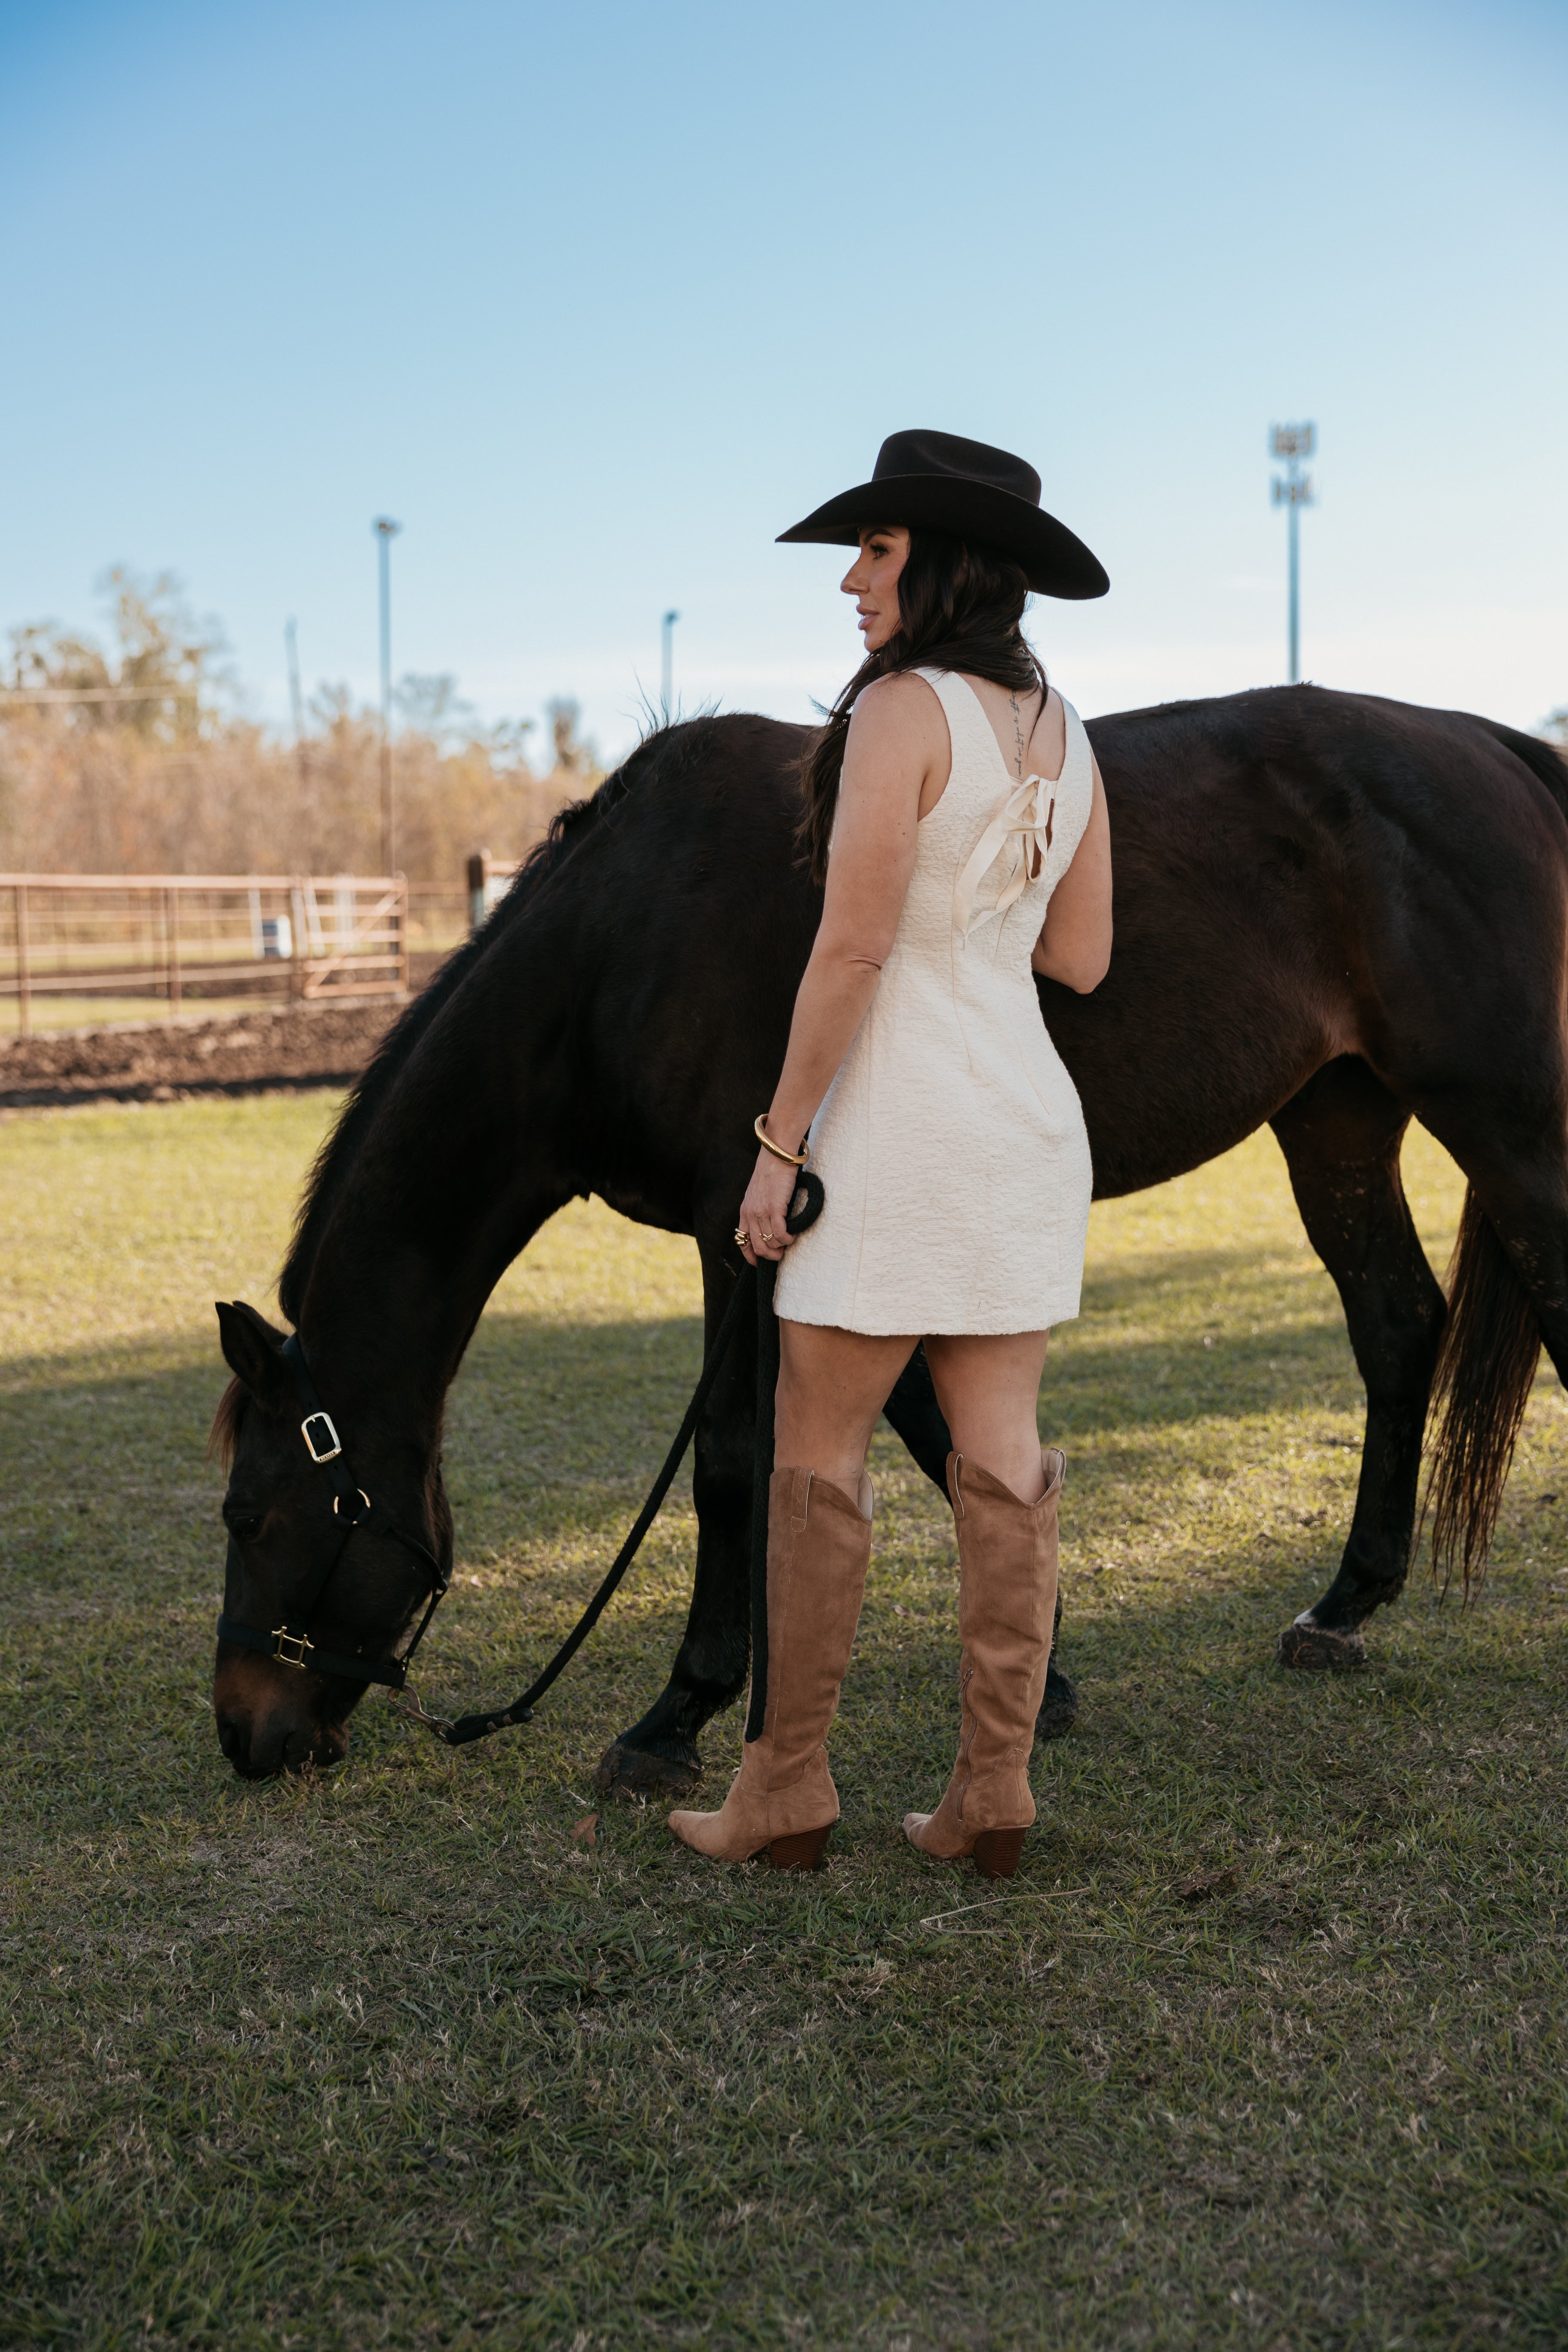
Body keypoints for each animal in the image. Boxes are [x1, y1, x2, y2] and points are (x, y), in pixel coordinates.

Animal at [209, 683, 1568, 1785]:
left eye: (251, 1516)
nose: (243, 1731)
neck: (622, 942)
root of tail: (1488, 743)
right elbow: (934, 1430)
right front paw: (1047, 1666)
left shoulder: (737, 1234)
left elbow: (733, 1463)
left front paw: (677, 1717)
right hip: (1337, 1118)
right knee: (1398, 1326)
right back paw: (1344, 1607)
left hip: (1504, 1118)